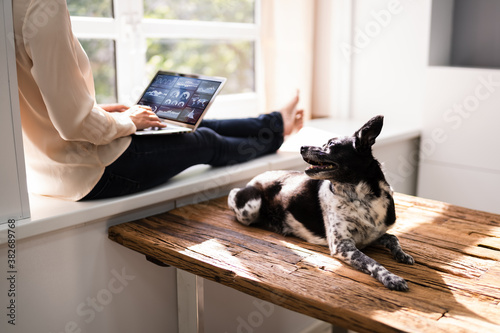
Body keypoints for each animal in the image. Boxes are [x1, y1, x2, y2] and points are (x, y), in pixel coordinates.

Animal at [228, 115, 414, 290]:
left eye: (331, 144)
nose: (302, 147)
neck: (361, 198)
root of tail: (253, 180)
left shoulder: (373, 235)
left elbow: (394, 238)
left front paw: (402, 255)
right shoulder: (342, 245)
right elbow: (372, 262)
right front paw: (391, 277)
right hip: (251, 207)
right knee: (233, 194)